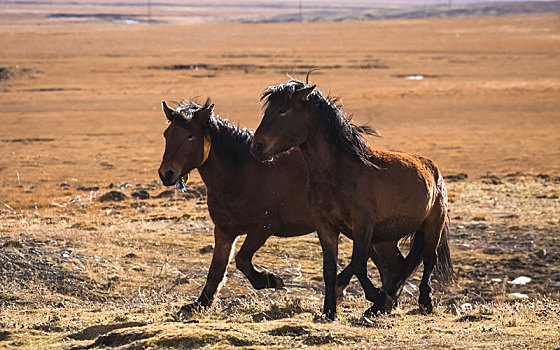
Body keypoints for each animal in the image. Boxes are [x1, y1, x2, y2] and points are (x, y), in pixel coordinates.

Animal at [158, 99, 412, 318]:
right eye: (166, 134)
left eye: (190, 135)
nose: (166, 174)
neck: (240, 174)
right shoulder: (224, 231)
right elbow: (216, 270)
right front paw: (200, 304)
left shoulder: (263, 227)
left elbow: (241, 259)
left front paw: (269, 280)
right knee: (391, 265)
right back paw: (383, 304)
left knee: (390, 264)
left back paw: (379, 301)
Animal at [252, 80, 452, 320]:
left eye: (283, 110)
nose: (257, 146)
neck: (341, 171)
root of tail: (434, 169)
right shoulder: (326, 227)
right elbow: (330, 268)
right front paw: (329, 311)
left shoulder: (362, 226)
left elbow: (357, 263)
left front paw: (377, 298)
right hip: (385, 239)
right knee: (399, 265)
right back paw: (380, 306)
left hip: (432, 226)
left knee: (428, 258)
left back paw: (422, 302)